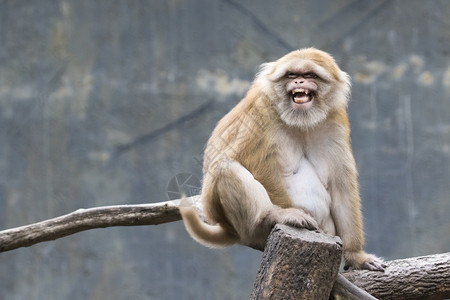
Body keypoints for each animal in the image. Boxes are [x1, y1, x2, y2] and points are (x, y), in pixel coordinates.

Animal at [181, 48, 384, 270]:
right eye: (292, 74)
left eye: (309, 75)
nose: (299, 82)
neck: (301, 121)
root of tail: (231, 230)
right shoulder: (261, 109)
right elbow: (258, 165)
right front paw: (286, 214)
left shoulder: (335, 120)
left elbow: (341, 186)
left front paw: (356, 255)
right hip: (243, 225)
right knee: (224, 167)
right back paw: (272, 216)